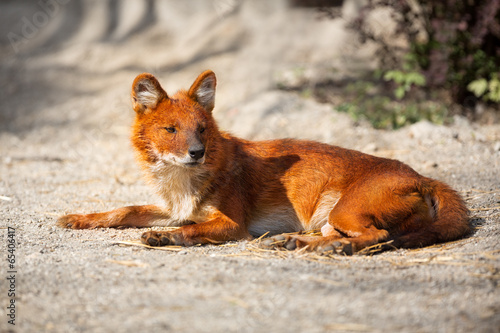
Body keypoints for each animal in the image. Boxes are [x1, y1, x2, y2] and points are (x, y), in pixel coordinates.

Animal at [56, 68, 470, 253]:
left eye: (202, 129)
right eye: (171, 129)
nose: (196, 152)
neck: (181, 179)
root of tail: (422, 176)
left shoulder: (231, 223)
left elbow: (193, 228)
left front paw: (166, 236)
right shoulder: (174, 208)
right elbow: (123, 209)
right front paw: (80, 218)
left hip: (347, 209)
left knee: (377, 236)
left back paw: (328, 248)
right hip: (330, 218)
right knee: (347, 235)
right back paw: (293, 241)